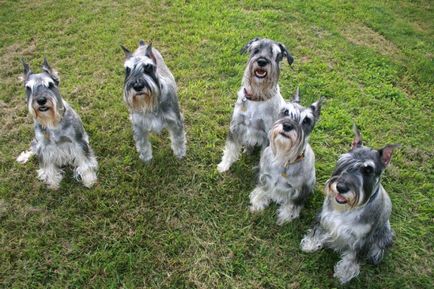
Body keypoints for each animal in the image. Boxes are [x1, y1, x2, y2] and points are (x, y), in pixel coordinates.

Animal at [16, 58, 97, 189]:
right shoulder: (43, 148)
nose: (41, 100)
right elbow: (48, 167)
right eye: (28, 87)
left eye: (50, 85)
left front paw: (89, 179)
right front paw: (53, 183)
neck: (52, 121)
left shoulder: (78, 142)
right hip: (36, 143)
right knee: (33, 147)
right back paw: (23, 157)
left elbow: (85, 162)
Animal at [219, 37, 294, 172]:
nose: (262, 61)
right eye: (256, 50)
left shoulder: (269, 135)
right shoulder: (236, 126)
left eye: (275, 54)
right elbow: (230, 148)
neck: (258, 97)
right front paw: (224, 165)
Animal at [249, 89, 324, 224]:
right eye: (286, 111)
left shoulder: (299, 190)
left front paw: (286, 216)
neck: (284, 158)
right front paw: (258, 202)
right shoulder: (265, 176)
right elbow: (263, 188)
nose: (287, 126)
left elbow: (292, 204)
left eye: (306, 120)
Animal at [300, 125, 398, 282]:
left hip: (386, 232)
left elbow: (353, 257)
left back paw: (376, 255)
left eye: (368, 170)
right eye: (344, 161)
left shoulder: (363, 240)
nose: (341, 187)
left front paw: (344, 273)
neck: (348, 209)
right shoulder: (324, 217)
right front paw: (310, 244)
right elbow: (317, 230)